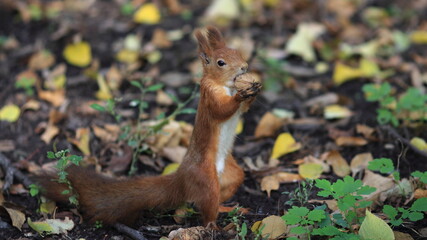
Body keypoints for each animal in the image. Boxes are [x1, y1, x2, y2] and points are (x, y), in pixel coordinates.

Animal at [36, 25, 262, 227]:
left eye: (237, 51)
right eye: (221, 62)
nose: (244, 67)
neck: (225, 86)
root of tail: (182, 179)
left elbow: (242, 111)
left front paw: (253, 89)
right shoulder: (210, 97)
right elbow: (222, 110)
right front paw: (241, 94)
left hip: (231, 174)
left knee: (225, 190)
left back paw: (227, 208)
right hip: (205, 179)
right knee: (206, 207)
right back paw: (214, 225)